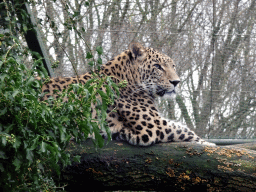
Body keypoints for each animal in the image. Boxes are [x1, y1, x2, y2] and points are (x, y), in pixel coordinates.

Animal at [40, 42, 216, 146]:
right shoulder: (154, 126)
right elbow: (185, 131)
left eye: (173, 66)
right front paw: (208, 144)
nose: (176, 82)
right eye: (158, 67)